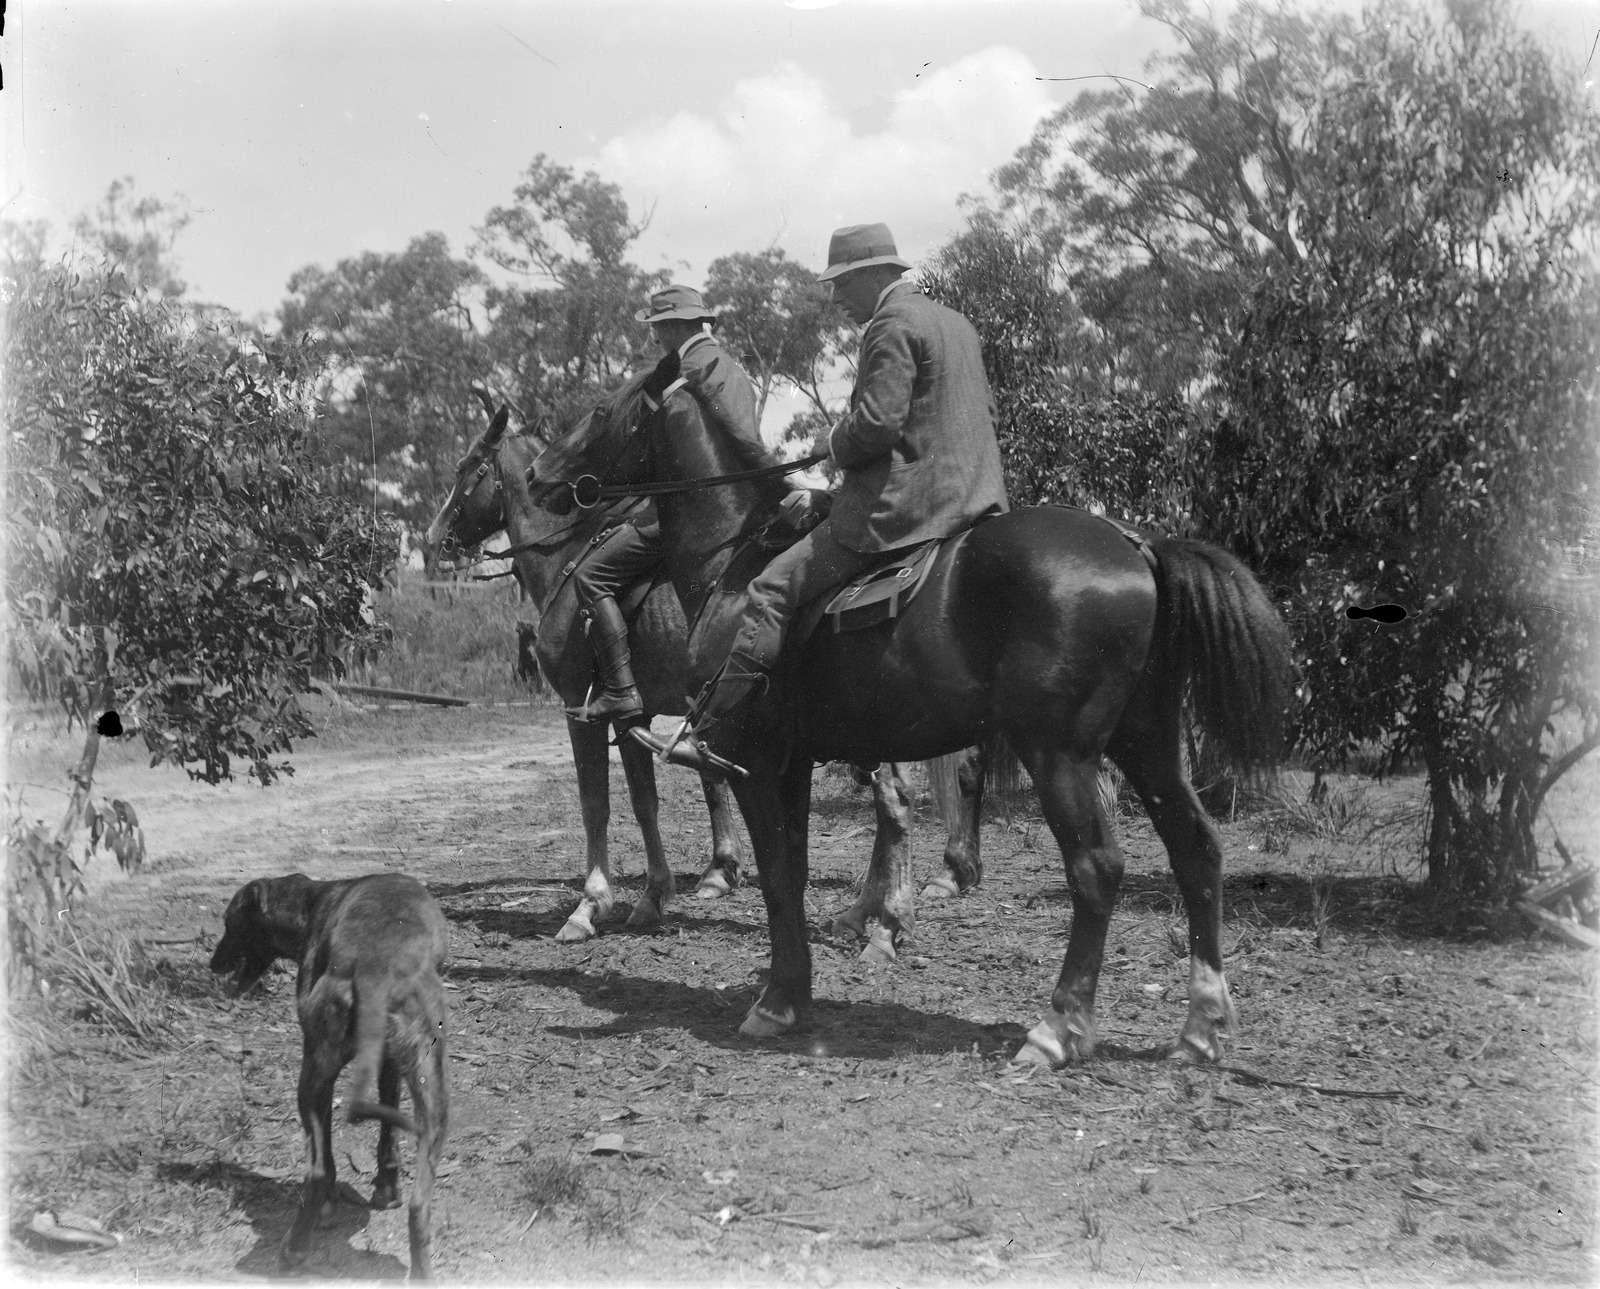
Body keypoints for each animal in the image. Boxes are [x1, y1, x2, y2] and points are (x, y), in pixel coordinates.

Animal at [210, 872, 450, 1280]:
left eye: (229, 923)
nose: (212, 964)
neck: (313, 899)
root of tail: (376, 967)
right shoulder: (387, 1067)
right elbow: (388, 1129)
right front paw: (387, 1189)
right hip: (432, 1098)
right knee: (420, 1207)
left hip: (310, 1083)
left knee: (318, 1172)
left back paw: (295, 1248)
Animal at [425, 398, 990, 956]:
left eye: (466, 469)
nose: (433, 537)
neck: (567, 558)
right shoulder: (634, 713)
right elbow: (647, 800)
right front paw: (656, 895)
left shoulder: (580, 711)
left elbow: (597, 805)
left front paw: (590, 906)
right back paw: (886, 902)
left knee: (899, 795)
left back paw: (897, 905)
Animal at [521, 358, 1294, 1067]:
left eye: (600, 409)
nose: (536, 475)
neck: (735, 562)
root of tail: (1138, 544)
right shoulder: (791, 765)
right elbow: (791, 870)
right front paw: (794, 990)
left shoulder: (753, 764)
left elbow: (775, 876)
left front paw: (774, 1001)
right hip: (1149, 745)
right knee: (1197, 850)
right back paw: (1201, 1023)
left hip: (1060, 755)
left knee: (1097, 867)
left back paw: (1058, 1027)